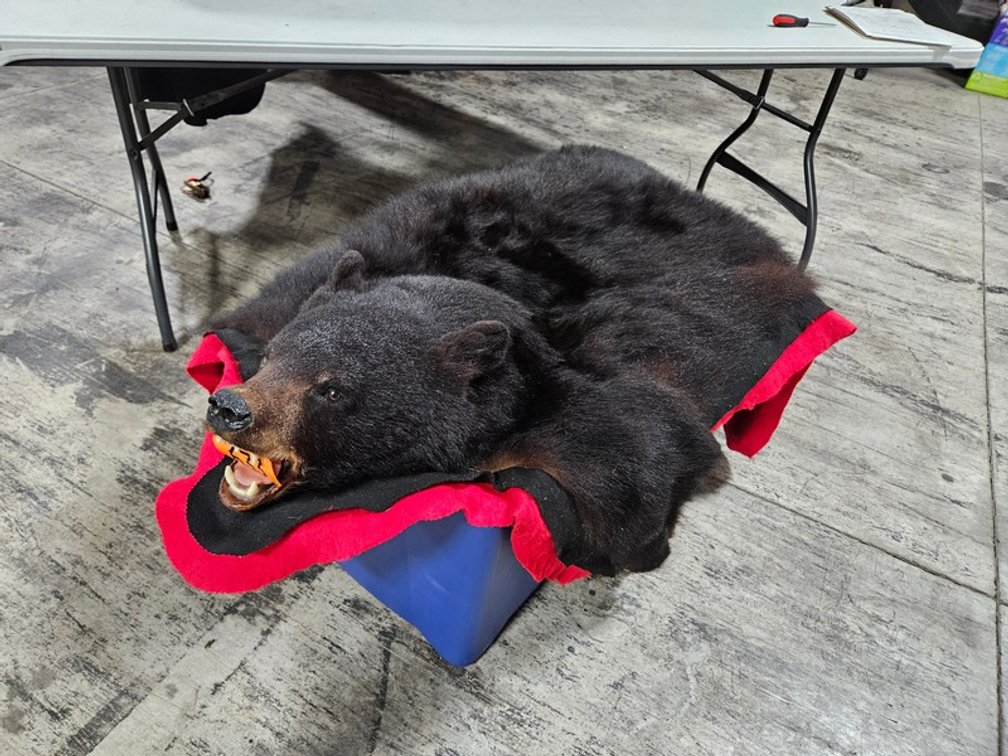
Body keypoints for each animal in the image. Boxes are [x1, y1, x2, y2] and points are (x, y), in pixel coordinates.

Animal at [206, 145, 816, 574]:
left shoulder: (590, 405)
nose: (231, 408)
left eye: (332, 390)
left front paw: (644, 542)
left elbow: (636, 477)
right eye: (274, 356)